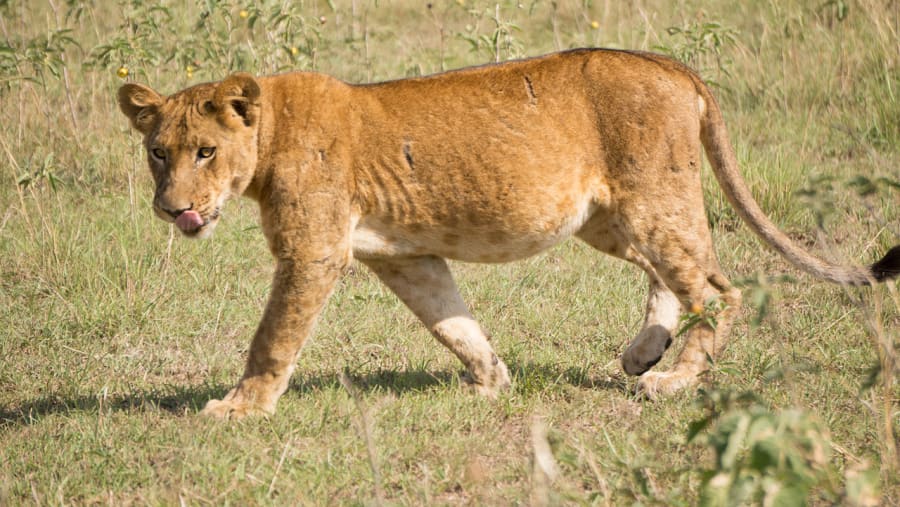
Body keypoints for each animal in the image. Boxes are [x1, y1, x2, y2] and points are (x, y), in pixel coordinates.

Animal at [118, 48, 899, 419]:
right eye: (158, 151)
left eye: (205, 153)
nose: (172, 208)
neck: (273, 127)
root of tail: (668, 63)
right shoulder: (405, 257)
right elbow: (453, 322)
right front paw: (492, 382)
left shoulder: (314, 251)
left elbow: (273, 336)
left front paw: (239, 406)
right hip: (607, 216)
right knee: (670, 276)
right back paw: (644, 351)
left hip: (654, 198)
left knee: (716, 288)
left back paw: (672, 379)